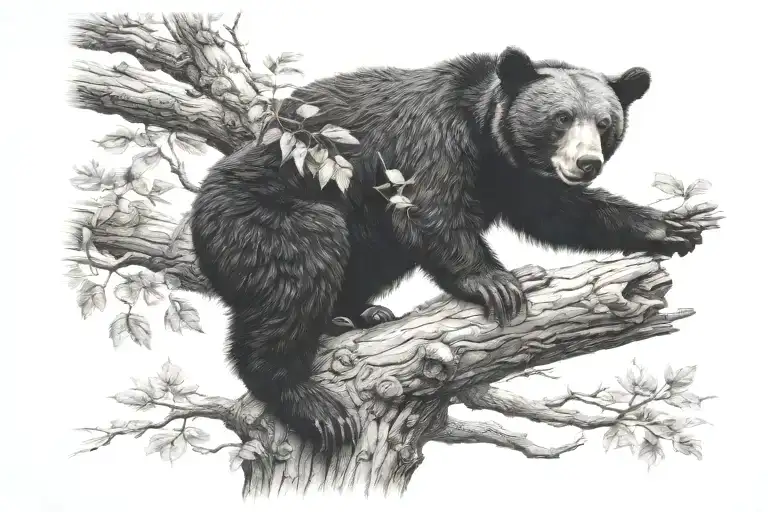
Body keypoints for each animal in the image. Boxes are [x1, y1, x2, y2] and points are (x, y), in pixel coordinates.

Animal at [190, 46, 703, 451]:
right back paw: (310, 400)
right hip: (260, 214)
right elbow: (429, 206)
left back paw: (356, 314)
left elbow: (556, 211)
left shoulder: (511, 173)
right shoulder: (430, 135)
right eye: (560, 119)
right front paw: (495, 283)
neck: (484, 130)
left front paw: (672, 227)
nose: (587, 162)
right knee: (297, 270)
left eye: (604, 123)